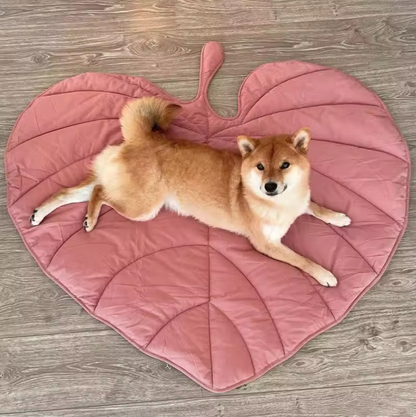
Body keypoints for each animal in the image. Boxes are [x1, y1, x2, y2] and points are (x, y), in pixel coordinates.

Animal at [30, 97, 352, 286]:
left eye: (285, 165)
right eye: (260, 167)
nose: (270, 186)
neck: (281, 204)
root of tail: (144, 137)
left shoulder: (301, 201)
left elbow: (317, 207)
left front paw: (338, 217)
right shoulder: (267, 245)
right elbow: (303, 260)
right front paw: (324, 274)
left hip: (121, 187)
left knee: (71, 191)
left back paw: (42, 214)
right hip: (143, 208)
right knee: (99, 192)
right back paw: (91, 219)